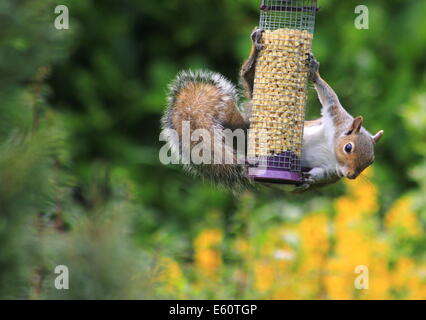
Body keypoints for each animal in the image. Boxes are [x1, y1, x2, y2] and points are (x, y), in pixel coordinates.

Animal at [161, 28, 386, 189]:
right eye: (348, 148)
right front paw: (315, 72)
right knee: (247, 78)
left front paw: (309, 181)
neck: (331, 147)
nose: (351, 175)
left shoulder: (331, 171)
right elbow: (329, 97)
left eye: (371, 161)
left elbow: (322, 176)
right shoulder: (335, 116)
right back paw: (254, 52)